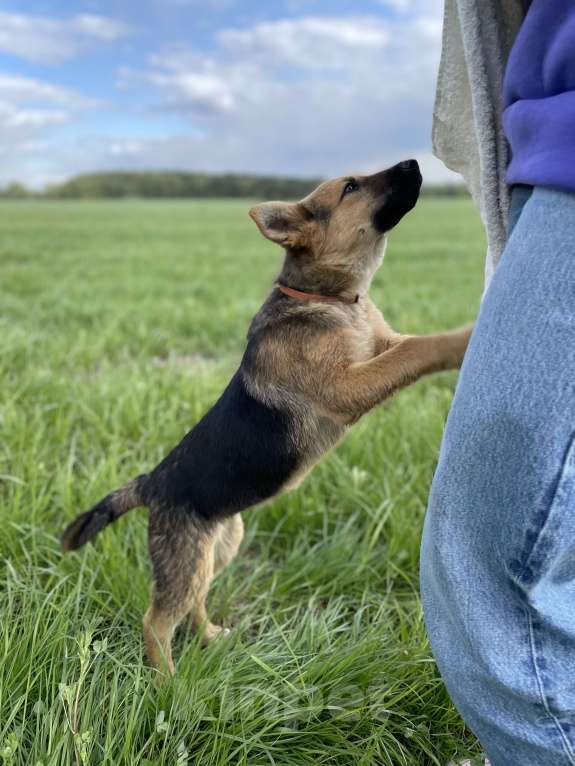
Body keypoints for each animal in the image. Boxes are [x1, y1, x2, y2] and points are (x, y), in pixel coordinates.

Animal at [60, 159, 472, 676]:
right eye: (350, 187)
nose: (415, 163)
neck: (329, 299)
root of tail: (150, 483)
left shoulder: (379, 346)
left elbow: (406, 345)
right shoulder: (347, 387)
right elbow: (418, 349)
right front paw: (465, 335)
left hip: (222, 542)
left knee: (195, 601)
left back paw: (211, 636)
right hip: (185, 557)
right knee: (157, 621)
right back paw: (167, 683)